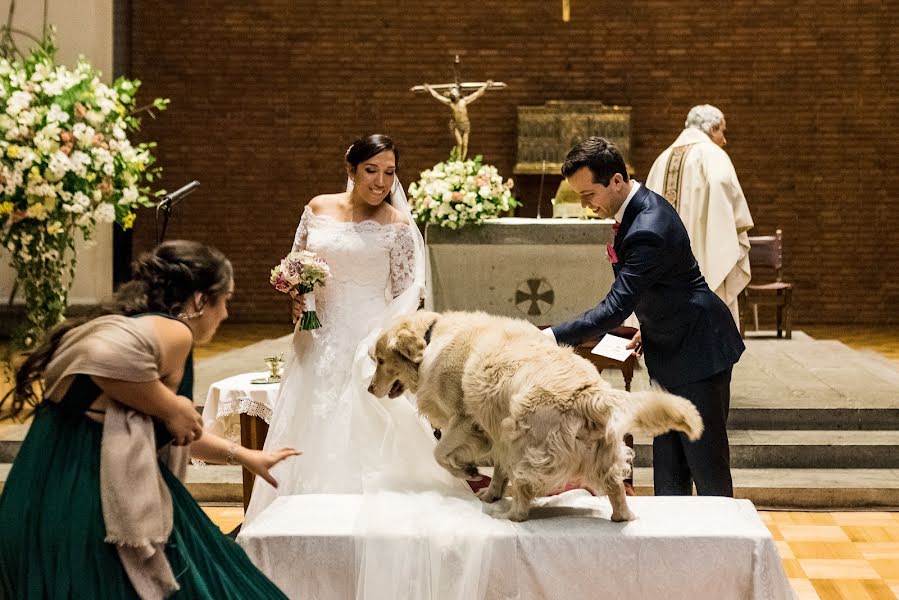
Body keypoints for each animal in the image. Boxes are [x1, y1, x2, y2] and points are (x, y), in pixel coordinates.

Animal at [370, 312, 708, 524]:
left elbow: (440, 453)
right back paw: (622, 515)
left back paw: (509, 515)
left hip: (525, 444)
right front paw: (489, 492)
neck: (432, 337)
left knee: (523, 495)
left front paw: (467, 471)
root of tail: (588, 392)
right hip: (595, 452)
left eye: (381, 360)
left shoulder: (466, 420)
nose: (370, 388)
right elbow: (495, 472)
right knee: (615, 488)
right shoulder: (495, 433)